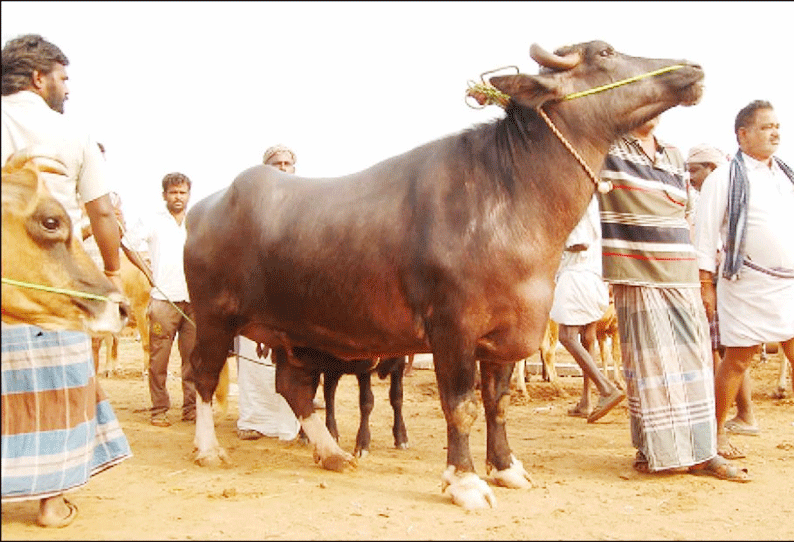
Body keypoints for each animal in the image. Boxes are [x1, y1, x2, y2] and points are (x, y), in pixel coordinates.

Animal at [184, 41, 700, 510]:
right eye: (605, 52)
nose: (692, 68)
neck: (511, 194)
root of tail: (204, 209)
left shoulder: (505, 334)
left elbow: (498, 403)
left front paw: (506, 468)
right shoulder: (453, 329)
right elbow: (461, 405)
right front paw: (465, 481)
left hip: (295, 332)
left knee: (293, 388)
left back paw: (333, 454)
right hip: (213, 317)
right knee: (203, 377)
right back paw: (209, 450)